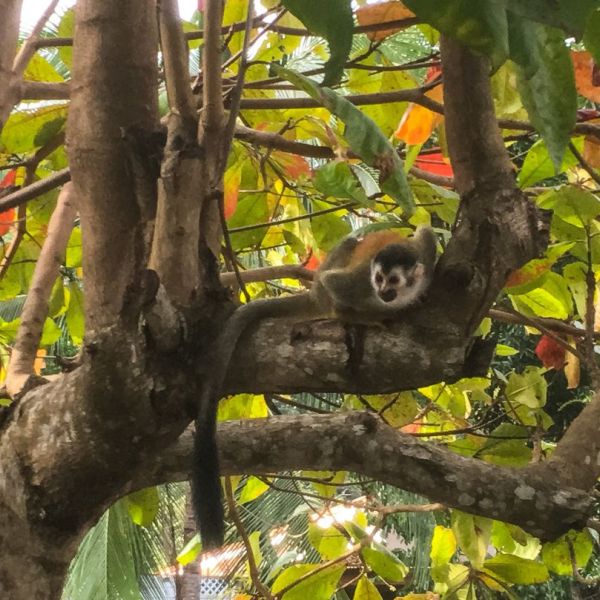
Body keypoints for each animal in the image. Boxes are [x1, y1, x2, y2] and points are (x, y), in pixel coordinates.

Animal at [192, 225, 436, 548]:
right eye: (379, 279)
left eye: (393, 280)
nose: (384, 293)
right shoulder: (359, 284)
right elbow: (336, 286)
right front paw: (368, 319)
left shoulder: (425, 258)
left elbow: (426, 234)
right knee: (336, 270)